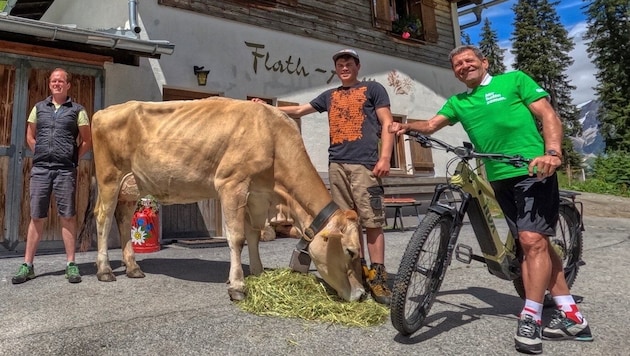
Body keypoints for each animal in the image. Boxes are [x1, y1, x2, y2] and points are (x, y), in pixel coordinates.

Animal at [88, 98, 366, 304]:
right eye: (351, 251)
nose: (362, 294)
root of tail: (106, 110)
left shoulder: (257, 196)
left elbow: (254, 235)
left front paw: (257, 273)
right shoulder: (232, 184)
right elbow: (237, 238)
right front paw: (238, 285)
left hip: (131, 185)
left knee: (123, 219)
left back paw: (133, 267)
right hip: (110, 177)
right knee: (103, 217)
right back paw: (105, 270)